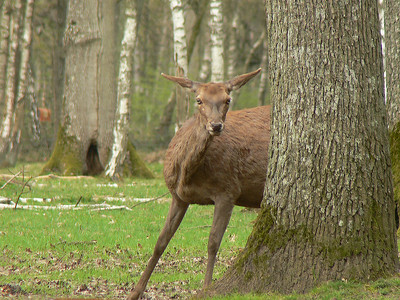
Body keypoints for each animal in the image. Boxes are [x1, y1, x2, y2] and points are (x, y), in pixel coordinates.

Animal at [129, 68, 272, 300]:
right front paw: (136, 291)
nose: (216, 125)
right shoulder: (178, 197)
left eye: (228, 99)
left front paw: (205, 288)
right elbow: (160, 242)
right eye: (198, 100)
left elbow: (213, 243)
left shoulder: (228, 191)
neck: (187, 174)